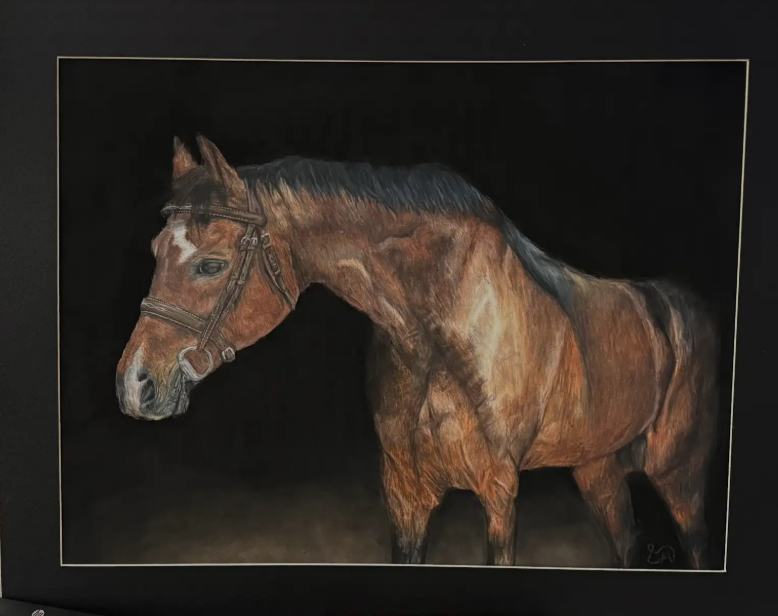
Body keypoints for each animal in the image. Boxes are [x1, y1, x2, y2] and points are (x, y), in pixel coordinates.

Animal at [116, 135, 719, 569]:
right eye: (155, 250)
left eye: (211, 264)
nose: (135, 384)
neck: (440, 335)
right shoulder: (405, 494)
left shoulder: (500, 493)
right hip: (598, 472)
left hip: (681, 477)